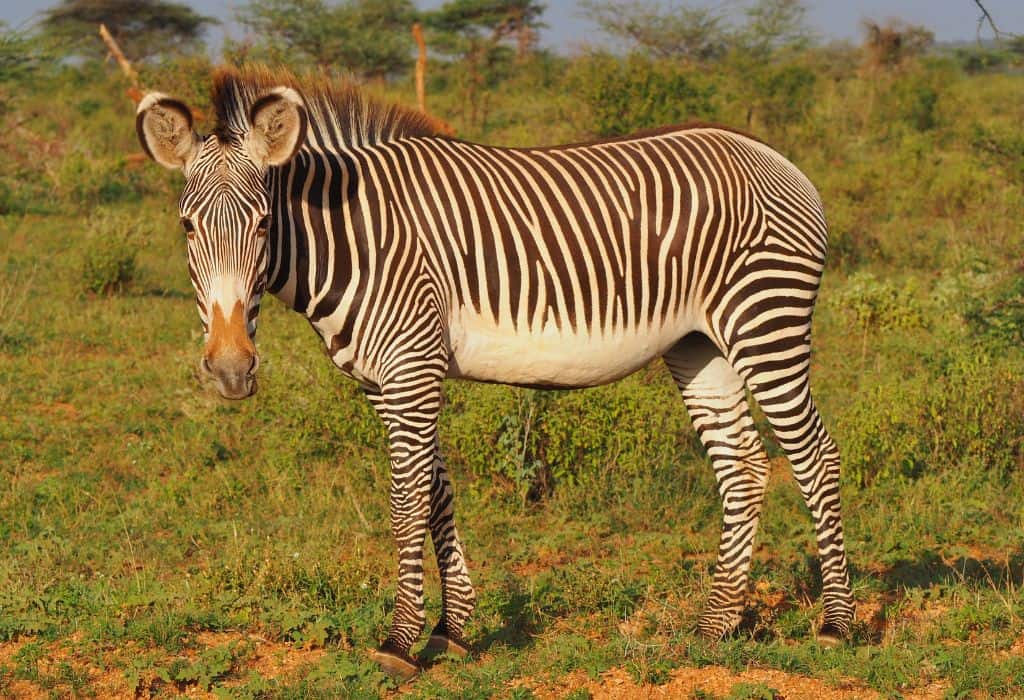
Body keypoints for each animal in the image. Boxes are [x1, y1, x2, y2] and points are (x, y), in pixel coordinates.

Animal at [136, 65, 856, 679]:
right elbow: (435, 492)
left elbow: (405, 500)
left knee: (815, 456)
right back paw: (716, 624)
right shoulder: (389, 380)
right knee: (745, 466)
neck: (354, 241)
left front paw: (399, 640)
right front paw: (451, 629)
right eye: (186, 227)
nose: (231, 369)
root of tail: (776, 159)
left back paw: (836, 625)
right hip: (700, 344)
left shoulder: (411, 366)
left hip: (765, 321)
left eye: (263, 225)